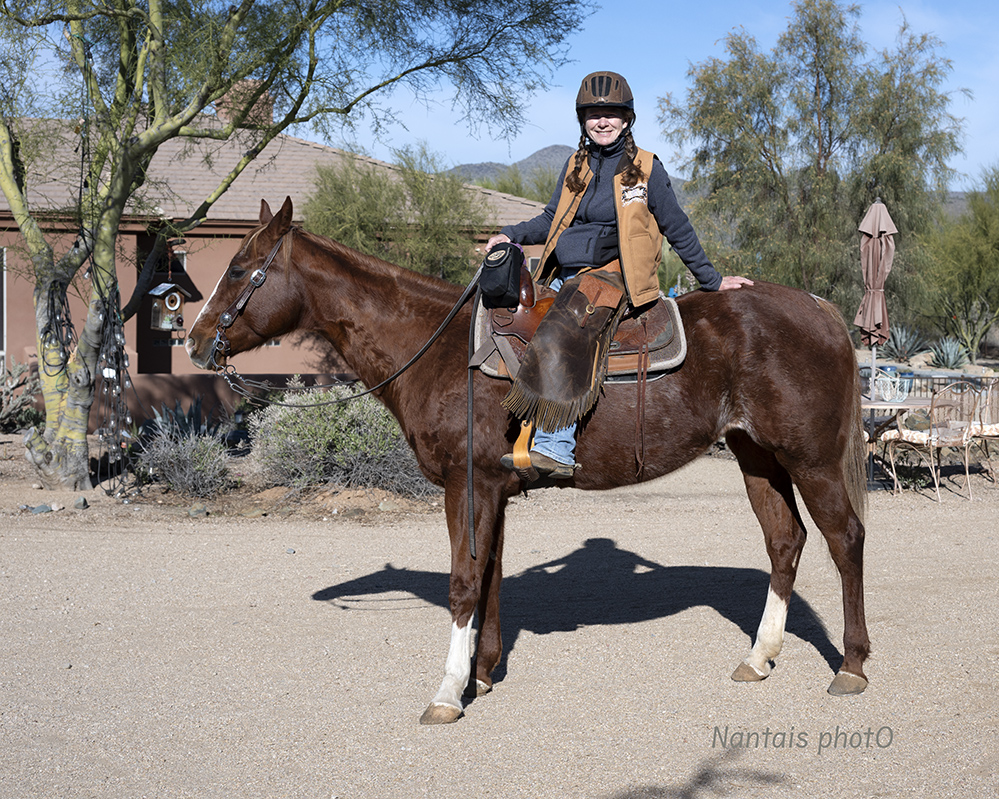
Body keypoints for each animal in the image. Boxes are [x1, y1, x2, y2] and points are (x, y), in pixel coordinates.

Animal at [188, 198, 876, 724]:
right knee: (785, 541)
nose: (193, 341)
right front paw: (484, 673)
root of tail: (818, 308)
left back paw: (851, 665)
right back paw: (759, 658)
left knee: (845, 539)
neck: (440, 351)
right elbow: (490, 576)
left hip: (811, 460)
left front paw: (448, 692)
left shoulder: (466, 485)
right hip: (756, 455)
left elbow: (465, 582)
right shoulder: (490, 488)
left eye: (241, 269)